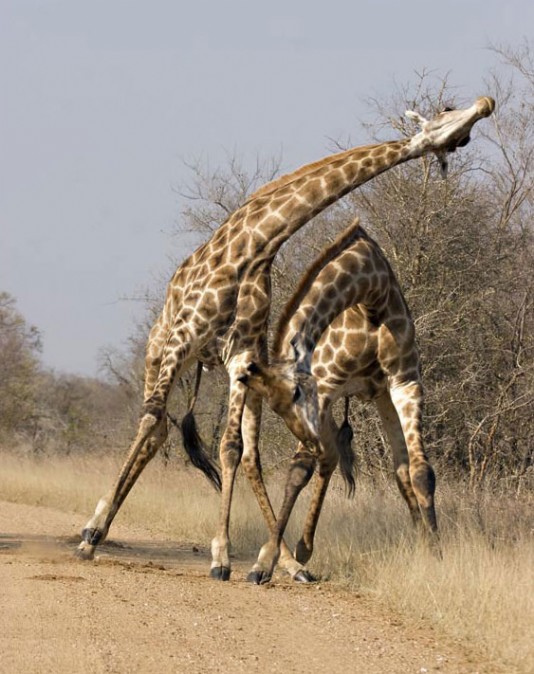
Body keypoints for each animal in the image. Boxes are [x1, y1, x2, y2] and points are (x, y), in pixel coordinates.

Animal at [239, 216, 438, 583]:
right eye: (276, 406)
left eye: (295, 394)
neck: (372, 298)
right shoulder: (326, 386)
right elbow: (297, 471)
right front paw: (263, 563)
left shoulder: (405, 381)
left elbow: (420, 472)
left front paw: (434, 554)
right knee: (264, 459)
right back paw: (292, 558)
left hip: (375, 399)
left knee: (379, 465)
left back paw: (304, 549)